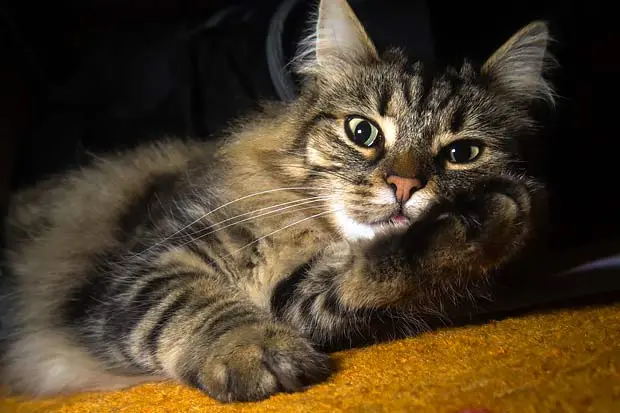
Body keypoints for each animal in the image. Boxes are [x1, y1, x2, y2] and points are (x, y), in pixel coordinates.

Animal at [0, 0, 552, 402]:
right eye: (363, 132)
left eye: (463, 153)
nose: (403, 186)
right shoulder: (142, 269)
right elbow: (198, 305)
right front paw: (254, 353)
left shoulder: (304, 299)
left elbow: (379, 278)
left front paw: (485, 220)